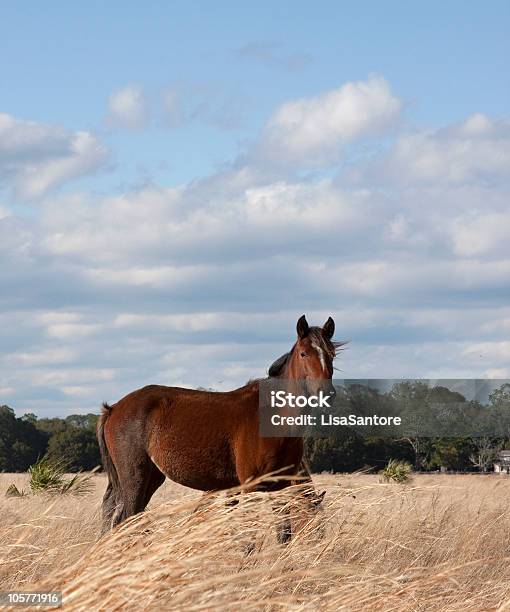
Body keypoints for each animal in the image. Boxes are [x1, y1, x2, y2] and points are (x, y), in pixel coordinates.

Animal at [96, 316, 342, 540]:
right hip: (134, 477)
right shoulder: (249, 486)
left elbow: (282, 533)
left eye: (331, 355)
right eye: (304, 353)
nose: (325, 393)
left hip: (152, 476)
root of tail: (113, 408)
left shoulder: (278, 486)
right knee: (126, 519)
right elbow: (245, 535)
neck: (273, 416)